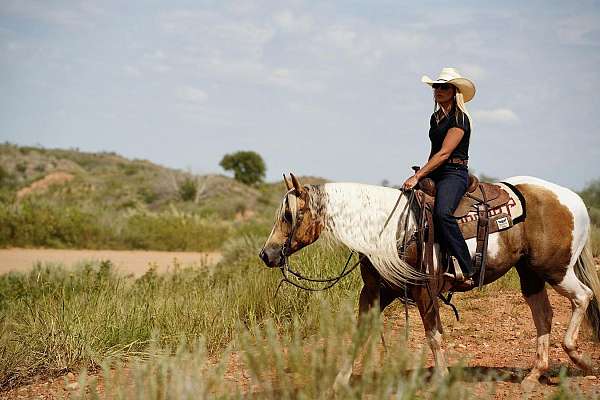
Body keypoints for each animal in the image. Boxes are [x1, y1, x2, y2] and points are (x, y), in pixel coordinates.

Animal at [258, 173, 600, 390]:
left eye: (288, 216)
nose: (266, 254)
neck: (392, 229)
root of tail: (572, 198)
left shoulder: (424, 290)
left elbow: (434, 336)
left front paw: (442, 379)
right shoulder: (376, 291)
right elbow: (360, 335)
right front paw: (339, 383)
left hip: (555, 269)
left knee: (582, 297)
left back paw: (579, 358)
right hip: (530, 272)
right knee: (543, 314)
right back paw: (533, 375)